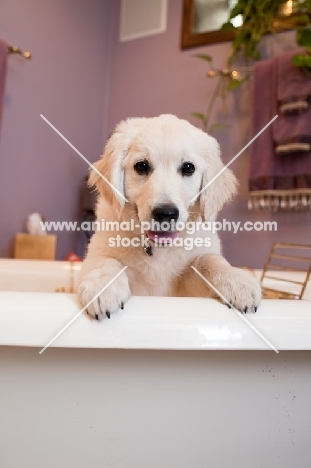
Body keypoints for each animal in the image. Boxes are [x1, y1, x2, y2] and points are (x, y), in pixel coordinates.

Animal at [77, 114, 260, 318]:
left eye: (188, 167)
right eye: (141, 166)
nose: (166, 213)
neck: (158, 249)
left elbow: (208, 259)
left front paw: (236, 280)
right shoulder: (99, 249)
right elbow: (104, 260)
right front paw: (103, 286)